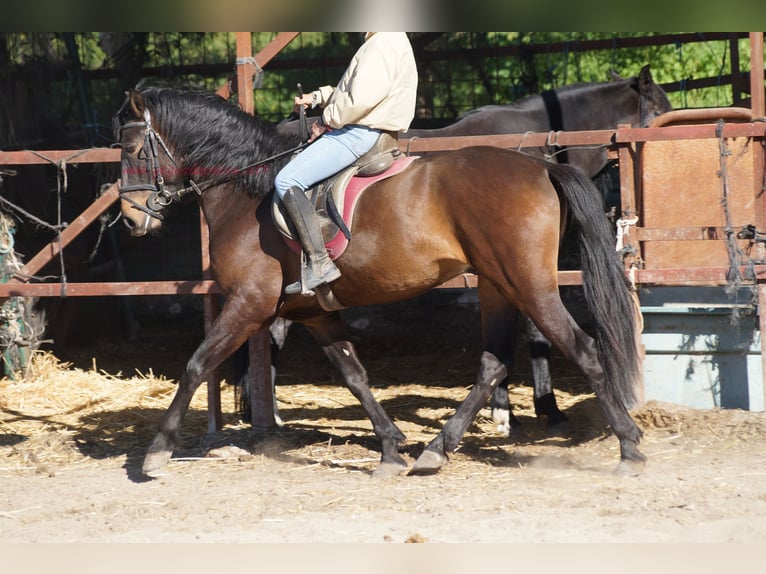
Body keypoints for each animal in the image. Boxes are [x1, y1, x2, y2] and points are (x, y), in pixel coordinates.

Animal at [114, 86, 645, 478]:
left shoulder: (249, 303)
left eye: (136, 149)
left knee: (583, 350)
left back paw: (628, 446)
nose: (131, 218)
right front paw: (390, 447)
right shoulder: (314, 313)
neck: (250, 194)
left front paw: (157, 451)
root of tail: (541, 165)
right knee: (493, 364)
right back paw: (436, 450)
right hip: (497, 286)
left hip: (528, 284)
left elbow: (197, 364)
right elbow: (355, 376)